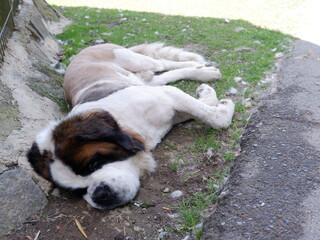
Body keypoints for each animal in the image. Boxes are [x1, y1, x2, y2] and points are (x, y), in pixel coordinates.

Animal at [26, 43, 235, 210]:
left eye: (93, 164)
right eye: (77, 191)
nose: (100, 195)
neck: (125, 120)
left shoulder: (167, 96)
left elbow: (214, 117)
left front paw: (224, 105)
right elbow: (203, 107)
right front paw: (208, 96)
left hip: (133, 59)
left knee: (163, 63)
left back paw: (201, 69)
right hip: (142, 79)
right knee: (161, 75)